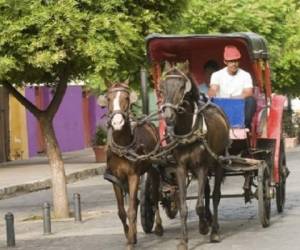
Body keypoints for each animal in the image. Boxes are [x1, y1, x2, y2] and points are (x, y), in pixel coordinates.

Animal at [100, 82, 162, 250]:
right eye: (108, 98)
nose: (117, 123)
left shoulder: (133, 176)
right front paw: (130, 236)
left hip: (153, 168)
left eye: (126, 98)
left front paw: (130, 241)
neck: (123, 146)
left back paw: (159, 227)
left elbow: (132, 210)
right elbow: (122, 212)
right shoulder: (115, 179)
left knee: (154, 197)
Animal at [161, 63, 231, 250]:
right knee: (206, 192)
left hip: (218, 163)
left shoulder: (201, 167)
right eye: (163, 86)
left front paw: (204, 227)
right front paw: (183, 240)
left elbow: (199, 205)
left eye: (181, 87)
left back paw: (214, 229)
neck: (188, 132)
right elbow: (184, 206)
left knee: (215, 196)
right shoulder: (181, 168)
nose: (168, 116)